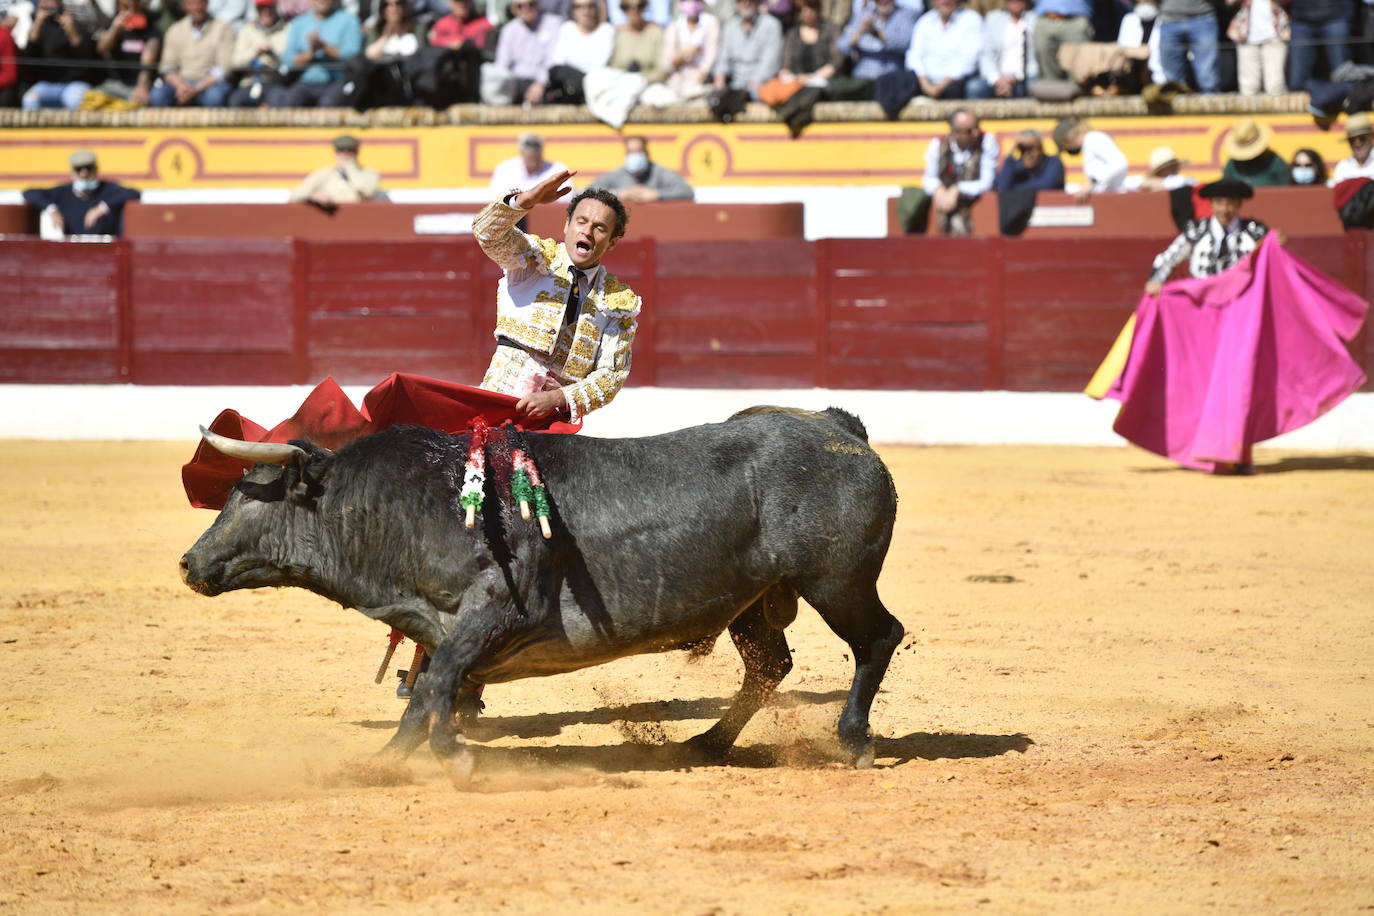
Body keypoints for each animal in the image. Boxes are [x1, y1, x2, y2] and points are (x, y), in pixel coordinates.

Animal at [182, 409, 906, 791]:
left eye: (249, 495)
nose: (189, 563)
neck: (404, 504)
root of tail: (841, 429)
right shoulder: (444, 628)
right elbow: (429, 693)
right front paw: (384, 760)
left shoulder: (501, 609)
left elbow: (435, 684)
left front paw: (454, 757)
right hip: (756, 604)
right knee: (769, 664)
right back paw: (704, 744)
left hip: (837, 582)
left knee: (878, 637)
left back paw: (854, 739)